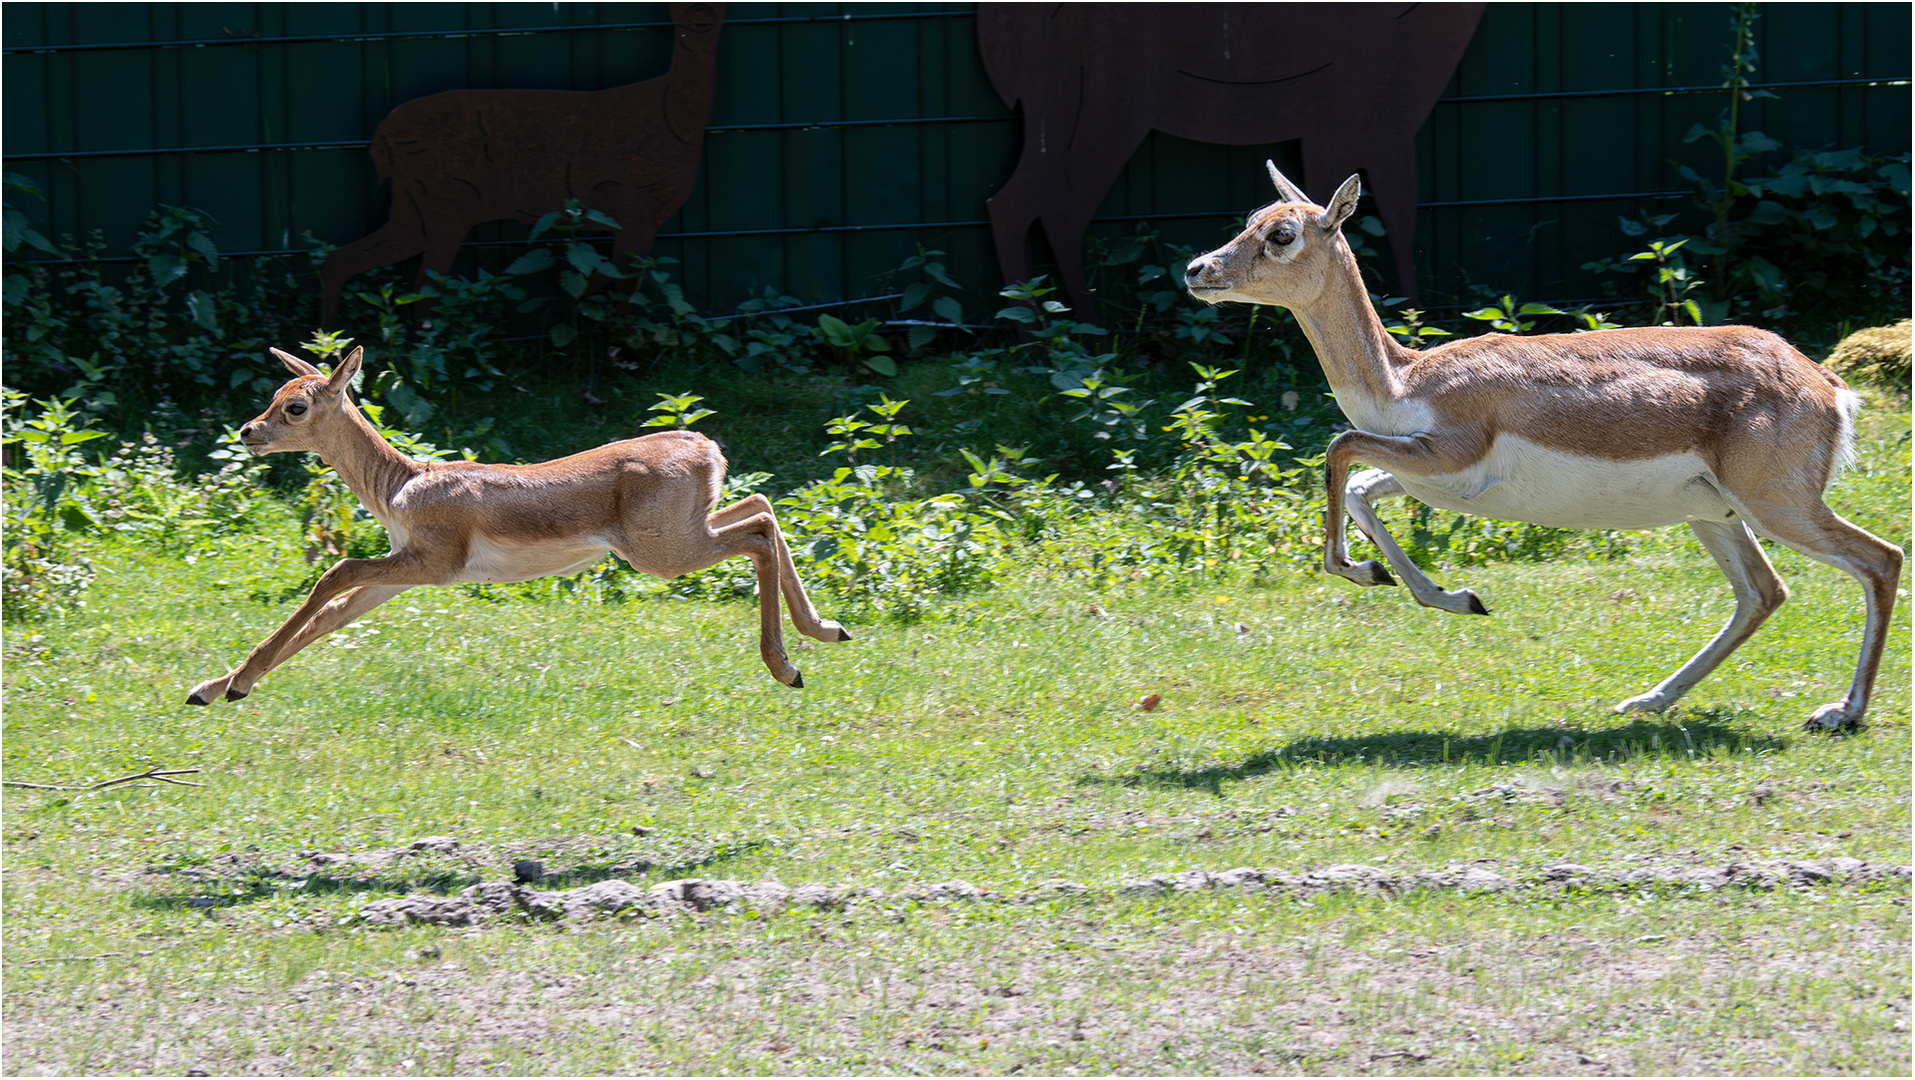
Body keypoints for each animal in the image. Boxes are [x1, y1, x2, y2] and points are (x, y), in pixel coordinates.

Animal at [186, 340, 846, 704]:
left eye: (296, 406)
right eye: (276, 390)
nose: (248, 431)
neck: (401, 486)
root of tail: (707, 448)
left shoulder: (435, 563)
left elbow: (333, 574)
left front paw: (236, 684)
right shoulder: (402, 573)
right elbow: (330, 616)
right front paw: (208, 690)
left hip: (660, 553)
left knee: (756, 536)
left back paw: (788, 668)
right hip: (686, 529)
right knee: (763, 511)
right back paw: (828, 630)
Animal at [1179, 164, 1899, 731]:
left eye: (1282, 234)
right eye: (1252, 217)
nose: (1195, 268)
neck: (1404, 379)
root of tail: (1826, 384)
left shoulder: (1444, 455)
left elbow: (1338, 446)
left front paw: (1370, 572)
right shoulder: (1426, 476)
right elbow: (1357, 489)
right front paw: (1448, 594)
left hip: (1774, 503)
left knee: (1880, 560)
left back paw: (1840, 712)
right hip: (1713, 511)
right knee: (1763, 592)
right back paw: (1646, 701)